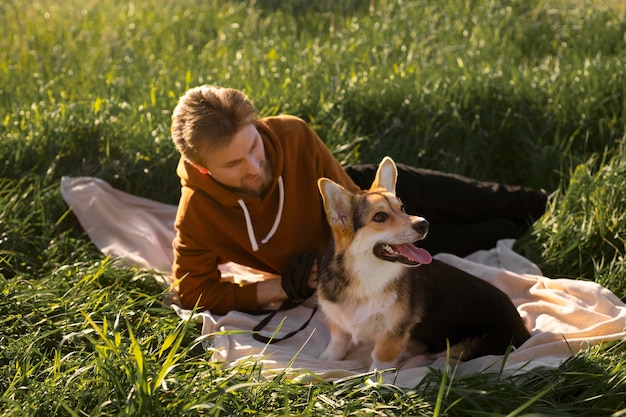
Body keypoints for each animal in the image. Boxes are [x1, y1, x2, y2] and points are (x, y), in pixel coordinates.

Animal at [316, 157, 528, 370]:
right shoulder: (339, 319)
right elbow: (338, 339)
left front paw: (374, 376)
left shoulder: (393, 333)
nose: (424, 224)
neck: (368, 277)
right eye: (380, 217)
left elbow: (381, 358)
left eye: (402, 208)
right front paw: (327, 359)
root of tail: (524, 331)